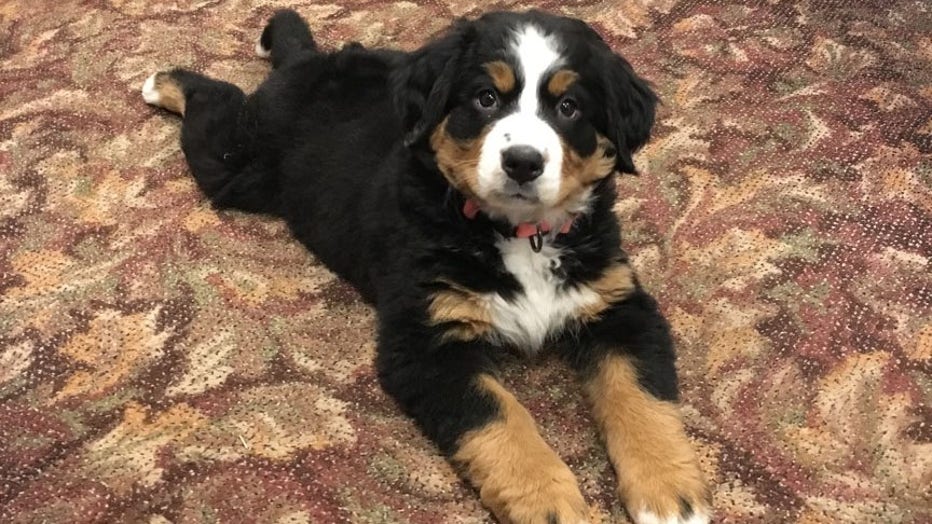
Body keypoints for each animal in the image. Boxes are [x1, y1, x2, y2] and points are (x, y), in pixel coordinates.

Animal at [144, 9, 712, 524]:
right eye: (486, 98)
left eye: (569, 107)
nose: (523, 162)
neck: (518, 235)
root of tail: (311, 60)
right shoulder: (424, 339)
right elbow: (500, 420)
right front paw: (548, 503)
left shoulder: (618, 304)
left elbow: (642, 399)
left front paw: (669, 494)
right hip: (236, 166)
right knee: (213, 101)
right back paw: (162, 80)